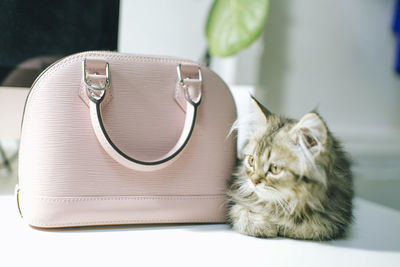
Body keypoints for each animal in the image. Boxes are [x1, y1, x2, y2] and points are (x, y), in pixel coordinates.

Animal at [228, 97, 354, 241]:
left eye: (275, 168)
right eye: (251, 161)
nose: (253, 181)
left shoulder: (332, 220)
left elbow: (310, 228)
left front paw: (283, 226)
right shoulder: (236, 201)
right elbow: (241, 213)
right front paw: (263, 225)